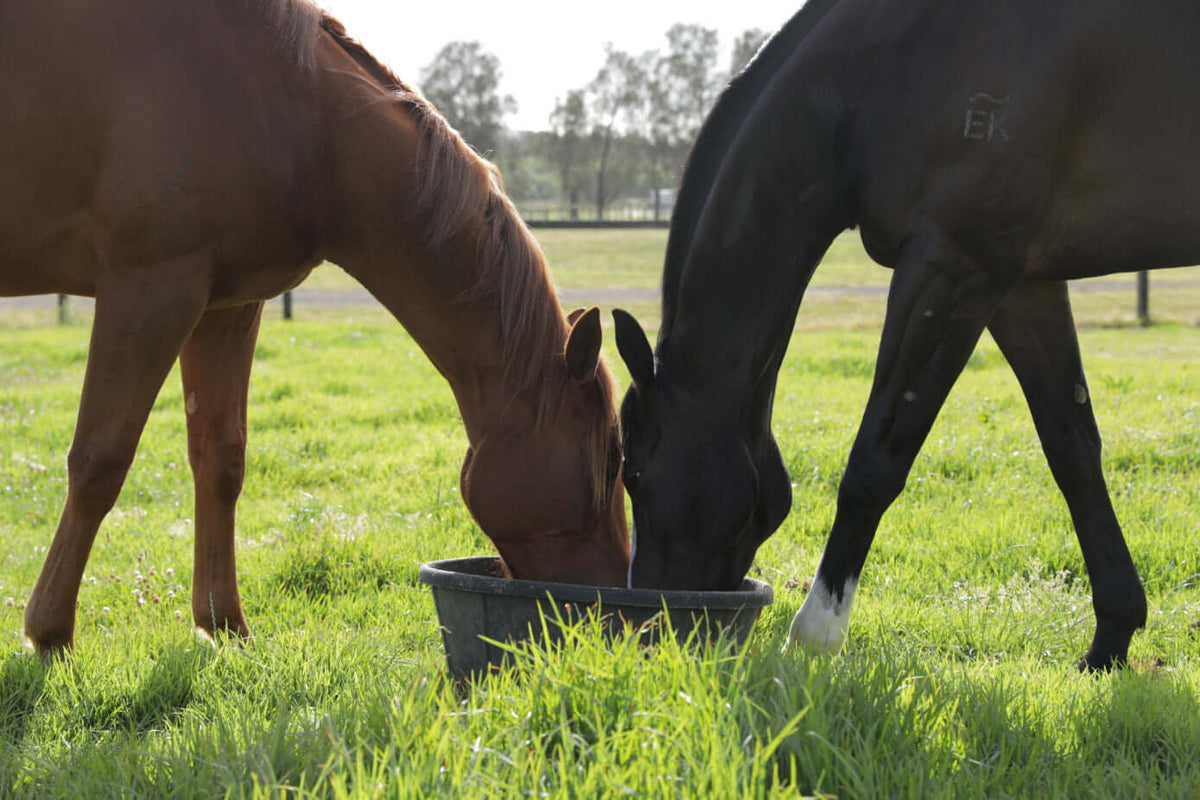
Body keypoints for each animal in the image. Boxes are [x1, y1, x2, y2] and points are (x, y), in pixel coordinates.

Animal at [1, 0, 629, 657]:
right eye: (611, 461)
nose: (611, 603)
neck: (300, 115)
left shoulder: (226, 304)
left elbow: (220, 459)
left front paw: (225, 625)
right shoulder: (149, 289)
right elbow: (100, 460)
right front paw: (49, 632)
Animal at [612, 0, 1200, 670]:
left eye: (634, 474)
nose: (649, 631)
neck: (893, 64)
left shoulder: (953, 269)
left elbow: (877, 459)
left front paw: (815, 637)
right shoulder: (1022, 286)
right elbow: (1072, 449)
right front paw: (1110, 640)